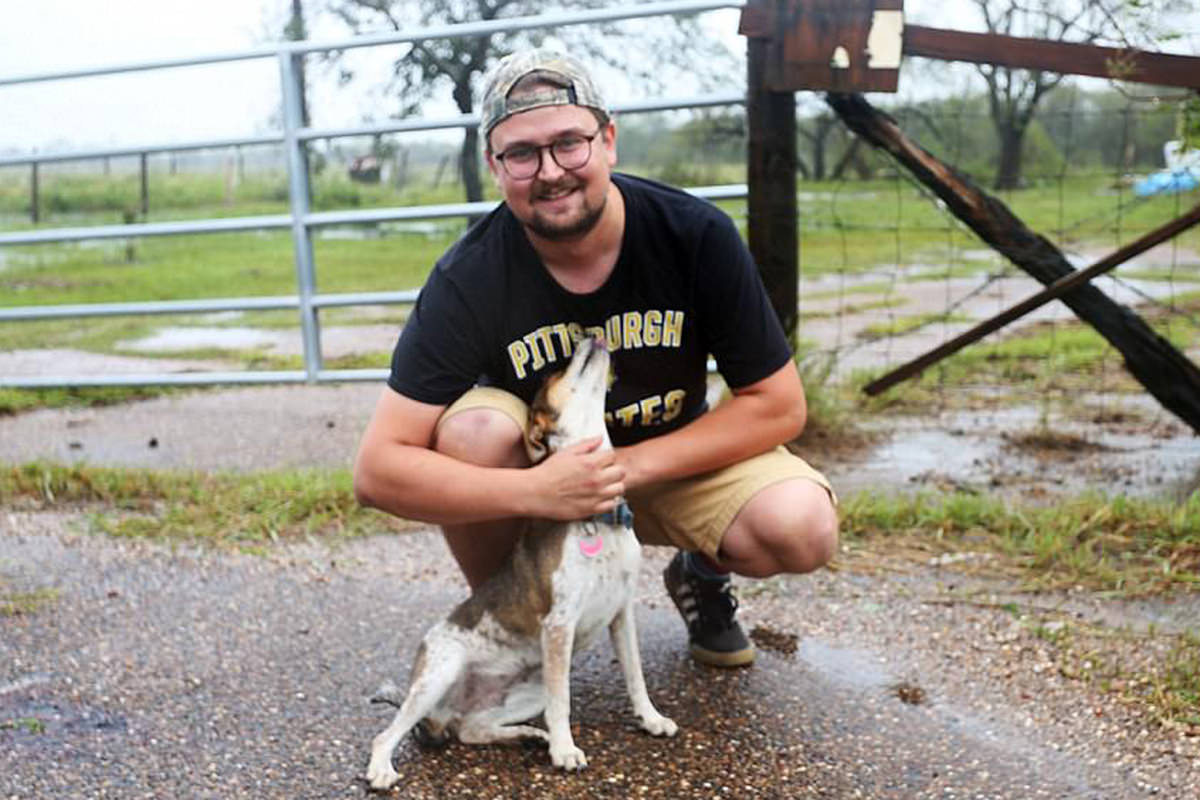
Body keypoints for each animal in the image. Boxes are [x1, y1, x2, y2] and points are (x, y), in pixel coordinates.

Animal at [360, 335, 681, 791]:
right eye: (553, 374)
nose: (589, 336)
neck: (600, 520)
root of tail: (444, 713)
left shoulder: (622, 614)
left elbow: (635, 677)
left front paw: (651, 720)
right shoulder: (559, 625)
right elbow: (563, 703)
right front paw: (565, 751)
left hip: (525, 691)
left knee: (472, 730)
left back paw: (527, 736)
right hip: (438, 674)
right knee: (387, 734)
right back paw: (382, 769)